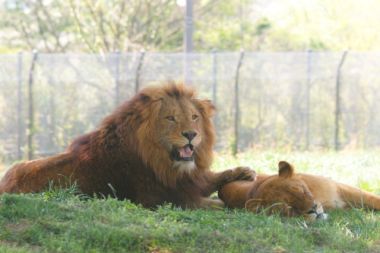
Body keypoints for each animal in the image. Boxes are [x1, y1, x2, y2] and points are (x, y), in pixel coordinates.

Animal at [1, 82, 255, 209]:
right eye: (170, 118)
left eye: (194, 117)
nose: (191, 134)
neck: (161, 162)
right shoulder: (161, 200)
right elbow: (213, 204)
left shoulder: (186, 180)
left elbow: (210, 179)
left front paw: (243, 171)